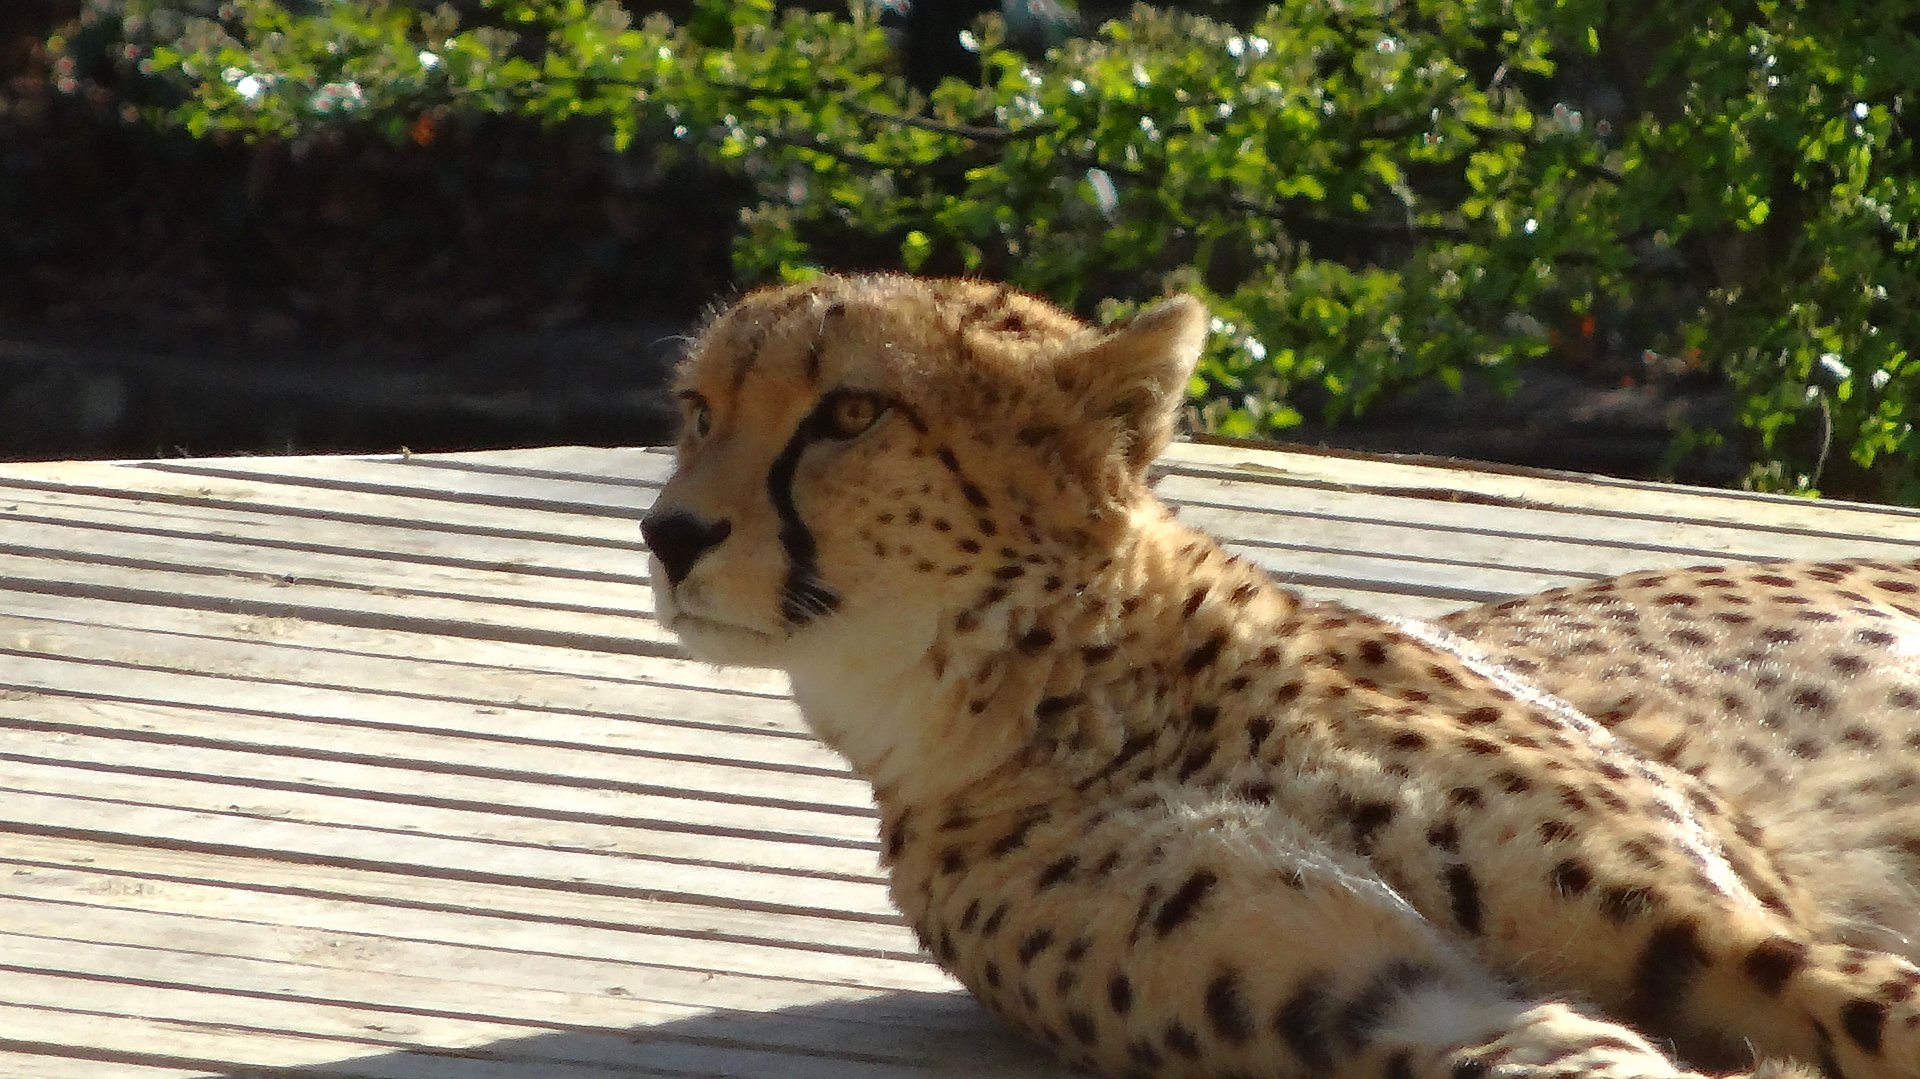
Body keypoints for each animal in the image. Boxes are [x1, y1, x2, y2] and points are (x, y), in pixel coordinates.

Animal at [638, 272, 1920, 1079]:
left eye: (851, 411)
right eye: (696, 410)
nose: (665, 532)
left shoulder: (1723, 926)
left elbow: (1878, 1009)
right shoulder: (1400, 998)